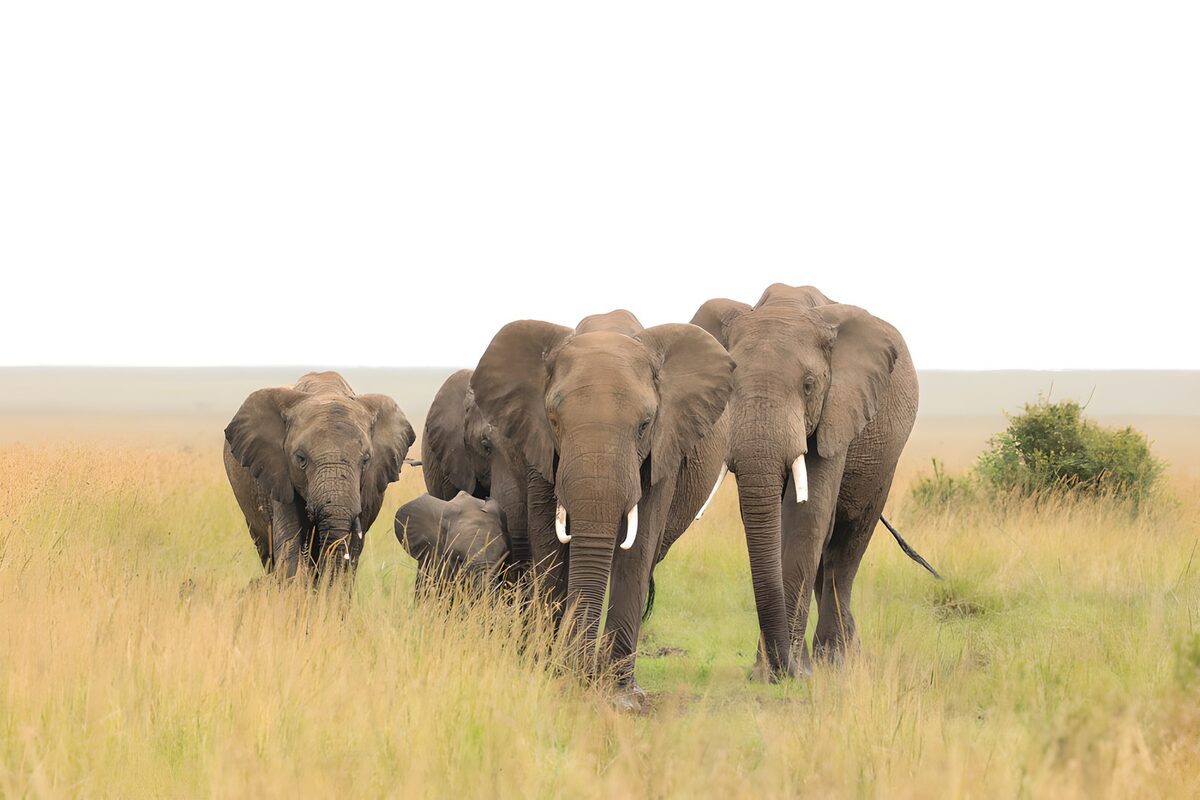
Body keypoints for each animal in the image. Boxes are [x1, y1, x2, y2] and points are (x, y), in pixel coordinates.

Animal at [223, 371, 415, 586]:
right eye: (301, 458)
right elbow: (290, 545)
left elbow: (351, 554)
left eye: (366, 460)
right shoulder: (279, 473)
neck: (326, 390)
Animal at [470, 309, 733, 701]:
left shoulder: (663, 448)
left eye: (644, 425)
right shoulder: (540, 449)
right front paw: (554, 675)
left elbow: (639, 548)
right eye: (554, 420)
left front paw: (620, 696)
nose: (582, 675)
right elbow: (549, 544)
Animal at [691, 284, 923, 679]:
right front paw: (772, 672)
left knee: (845, 549)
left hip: (886, 459)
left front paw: (789, 674)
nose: (782, 667)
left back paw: (837, 661)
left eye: (809, 386)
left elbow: (807, 516)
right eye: (730, 385)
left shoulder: (838, 406)